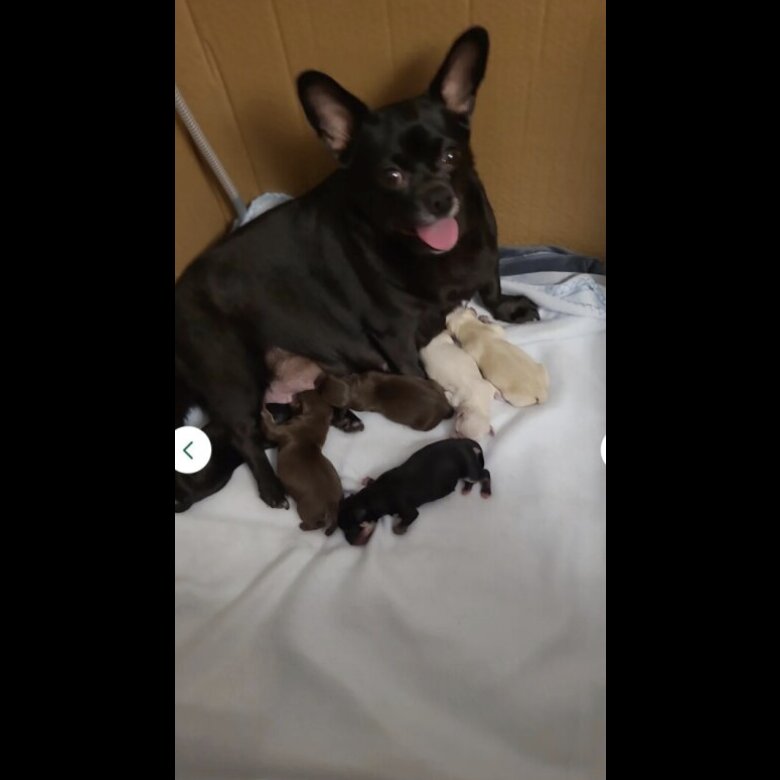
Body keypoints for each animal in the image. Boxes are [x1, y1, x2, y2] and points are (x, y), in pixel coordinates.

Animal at [175, 26, 539, 511]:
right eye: (391, 176)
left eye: (450, 157)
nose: (439, 198)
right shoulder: (396, 334)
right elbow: (417, 372)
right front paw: (435, 399)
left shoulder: (486, 258)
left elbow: (492, 286)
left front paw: (509, 308)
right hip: (232, 375)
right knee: (245, 434)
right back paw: (272, 488)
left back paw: (341, 416)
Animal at [260, 390, 342, 534]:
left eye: (307, 393)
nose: (306, 388)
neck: (315, 420)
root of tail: (332, 505)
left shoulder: (279, 430)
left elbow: (269, 425)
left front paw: (264, 410)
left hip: (304, 510)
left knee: (316, 524)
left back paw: (303, 526)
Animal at [338, 439, 491, 545]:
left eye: (353, 528)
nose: (350, 544)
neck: (375, 494)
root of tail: (465, 442)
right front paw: (367, 480)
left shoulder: (410, 511)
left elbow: (398, 528)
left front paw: (400, 529)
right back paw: (466, 488)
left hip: (470, 471)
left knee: (485, 473)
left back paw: (486, 492)